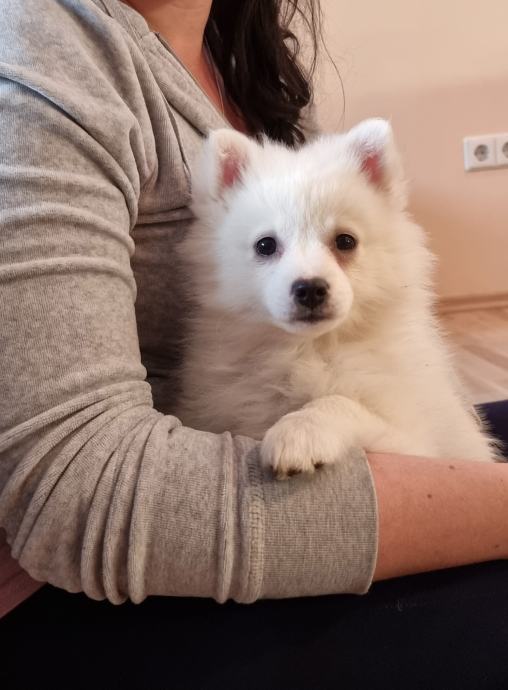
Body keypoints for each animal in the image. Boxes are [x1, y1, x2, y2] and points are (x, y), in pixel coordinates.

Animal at [175, 118, 497, 478]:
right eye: (265, 245)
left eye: (345, 241)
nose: (310, 288)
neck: (311, 350)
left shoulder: (416, 444)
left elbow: (340, 403)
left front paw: (299, 431)